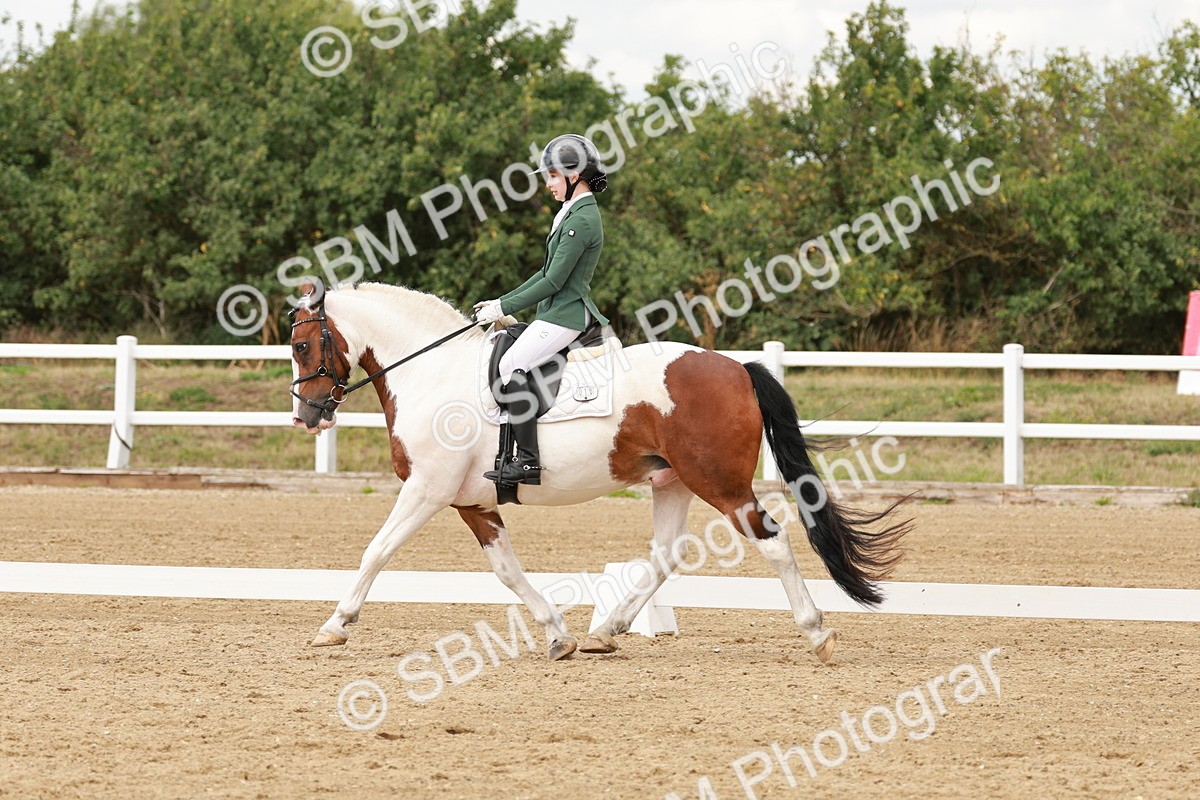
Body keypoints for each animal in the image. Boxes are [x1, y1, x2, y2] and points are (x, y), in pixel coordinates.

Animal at [288, 279, 910, 663]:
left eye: (300, 346)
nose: (305, 416)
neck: (433, 374)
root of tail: (737, 367)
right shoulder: (473, 502)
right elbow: (507, 571)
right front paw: (558, 635)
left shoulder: (426, 490)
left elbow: (376, 551)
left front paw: (334, 626)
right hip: (672, 482)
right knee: (666, 556)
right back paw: (606, 633)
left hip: (720, 485)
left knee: (773, 542)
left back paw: (817, 633)